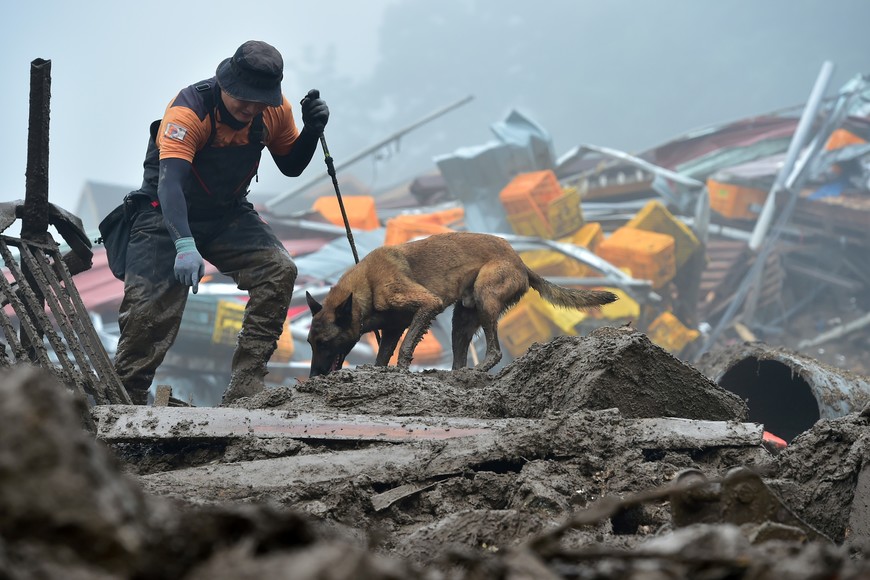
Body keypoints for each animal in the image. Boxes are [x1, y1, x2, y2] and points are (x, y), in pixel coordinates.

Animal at [306, 231, 620, 376]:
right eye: (311, 343)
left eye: (324, 343)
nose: (313, 376)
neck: (364, 288)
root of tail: (519, 261)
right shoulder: (392, 330)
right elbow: (383, 356)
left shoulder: (426, 304)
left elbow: (406, 347)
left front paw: (402, 370)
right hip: (463, 317)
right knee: (460, 359)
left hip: (485, 296)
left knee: (494, 352)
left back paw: (479, 370)